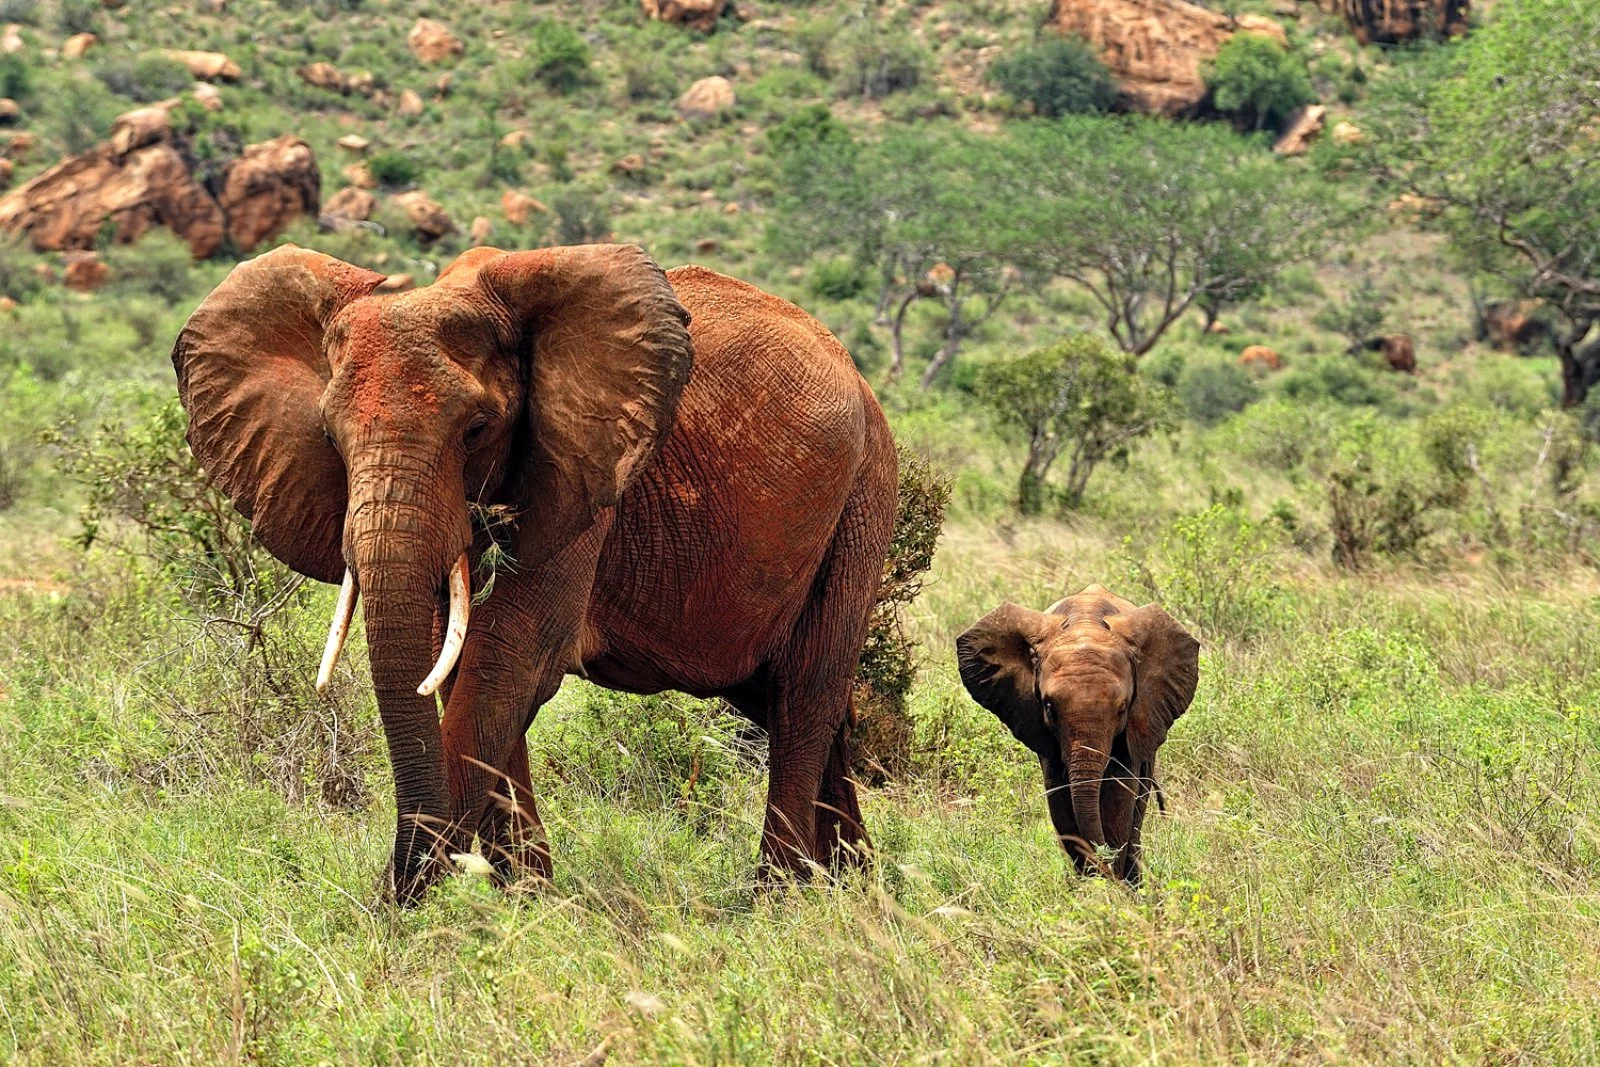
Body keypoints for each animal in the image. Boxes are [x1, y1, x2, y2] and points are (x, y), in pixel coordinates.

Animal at [176, 244, 908, 902]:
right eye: (330, 438)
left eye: (476, 430)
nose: (399, 889)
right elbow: (459, 666)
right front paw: (524, 896)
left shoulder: (585, 477)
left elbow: (507, 663)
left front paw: (421, 908)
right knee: (785, 694)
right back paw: (857, 883)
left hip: (864, 497)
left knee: (804, 695)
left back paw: (779, 898)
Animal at [953, 588, 1196, 883]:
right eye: (1049, 707)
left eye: (1122, 709)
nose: (1106, 863)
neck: (1085, 624)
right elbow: (1060, 800)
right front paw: (1091, 886)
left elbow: (1119, 797)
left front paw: (1112, 884)